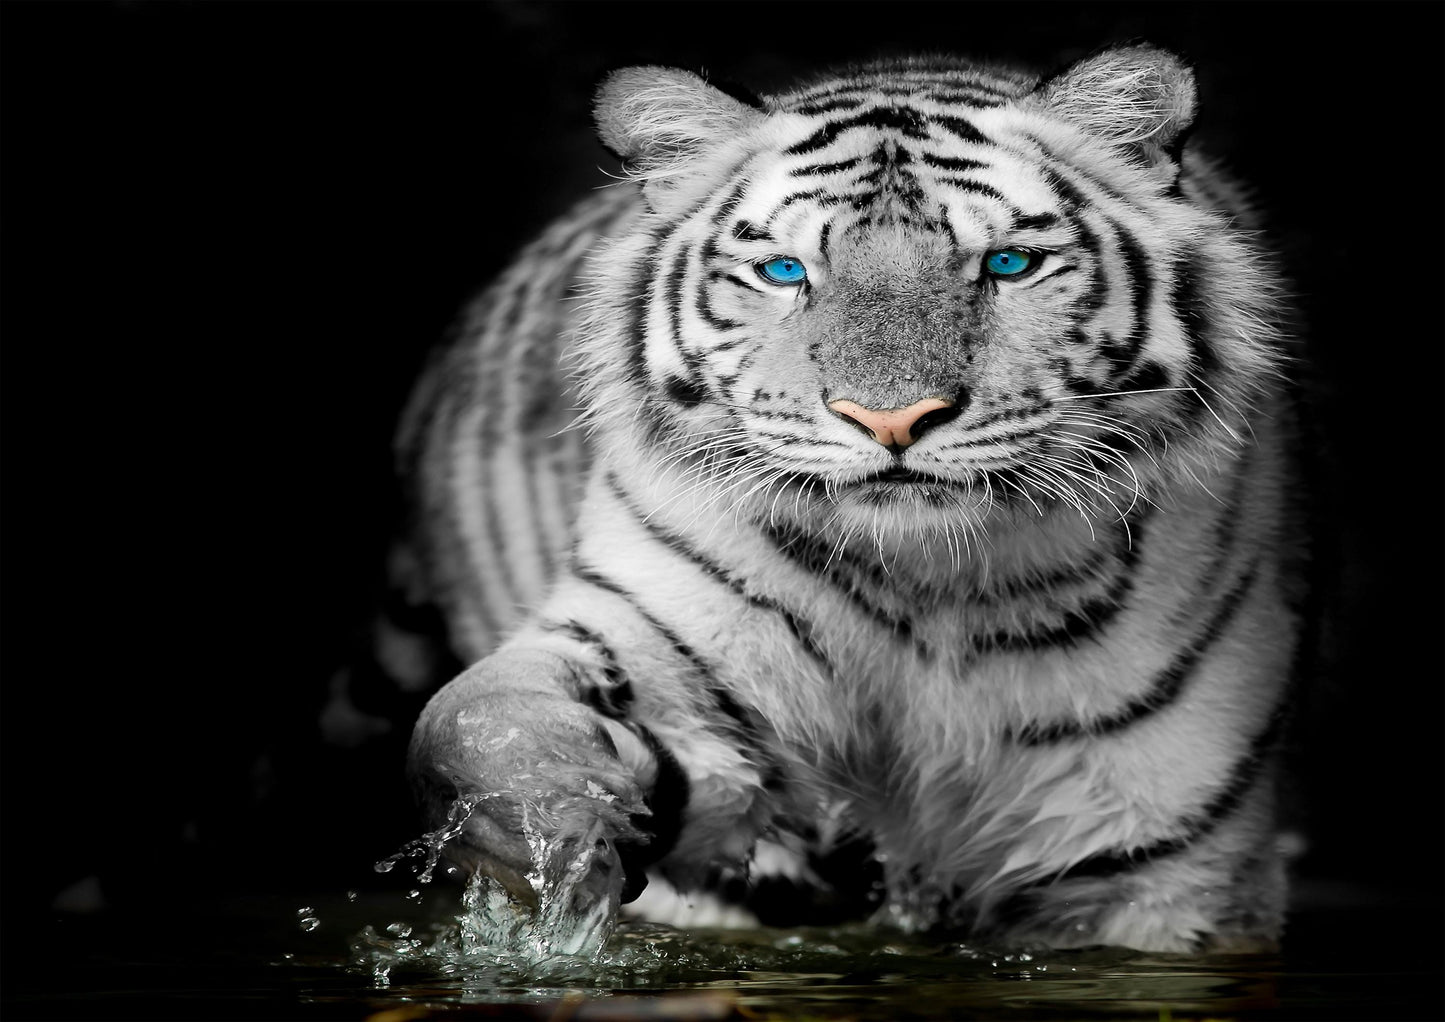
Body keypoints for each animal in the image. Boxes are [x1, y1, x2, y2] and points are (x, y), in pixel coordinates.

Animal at [389, 44, 1305, 954]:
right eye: (783, 271)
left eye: (1007, 264)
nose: (891, 419)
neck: (929, 583)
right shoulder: (653, 638)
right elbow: (472, 719)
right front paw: (556, 824)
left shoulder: (1159, 864)